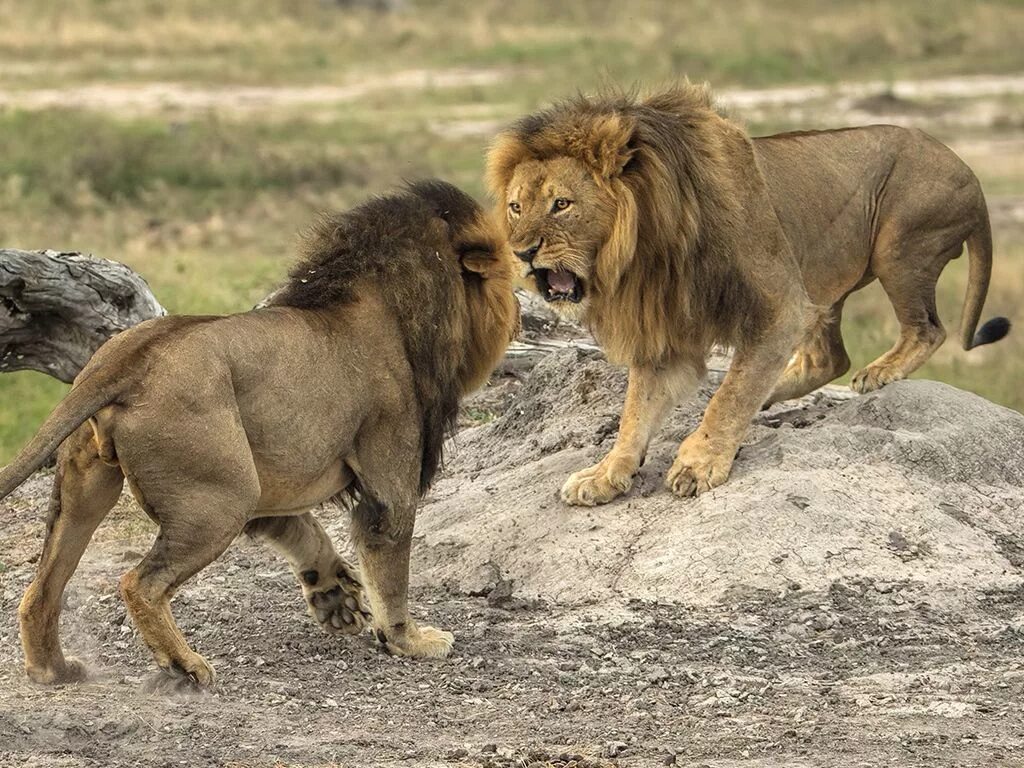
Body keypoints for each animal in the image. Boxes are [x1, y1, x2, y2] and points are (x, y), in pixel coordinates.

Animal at [0, 182, 520, 692]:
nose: (517, 313)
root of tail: (127, 359)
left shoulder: (270, 479)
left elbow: (304, 530)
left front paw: (336, 597)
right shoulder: (388, 473)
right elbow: (390, 565)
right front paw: (409, 640)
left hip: (92, 486)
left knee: (42, 586)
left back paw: (54, 670)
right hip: (222, 498)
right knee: (138, 583)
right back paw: (184, 666)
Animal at [487, 83, 1007, 507]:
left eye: (562, 204)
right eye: (515, 207)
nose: (523, 252)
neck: (643, 251)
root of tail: (972, 176)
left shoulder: (779, 304)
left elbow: (729, 397)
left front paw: (700, 463)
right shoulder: (667, 332)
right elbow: (635, 411)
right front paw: (606, 473)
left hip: (898, 247)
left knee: (927, 330)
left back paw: (878, 372)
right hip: (824, 275)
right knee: (828, 358)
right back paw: (775, 392)